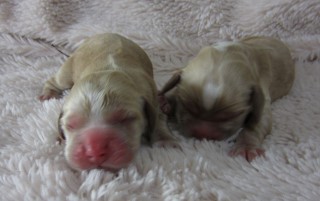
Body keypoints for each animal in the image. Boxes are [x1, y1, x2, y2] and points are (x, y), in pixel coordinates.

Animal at [39, 33, 178, 171]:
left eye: (126, 119)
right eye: (70, 125)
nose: (95, 150)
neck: (108, 71)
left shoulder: (152, 96)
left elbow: (158, 119)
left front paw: (165, 141)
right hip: (69, 69)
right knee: (55, 80)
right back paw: (48, 94)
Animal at [159, 36, 296, 162]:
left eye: (231, 115)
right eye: (186, 105)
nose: (202, 134)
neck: (229, 51)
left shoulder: (262, 97)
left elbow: (256, 124)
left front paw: (246, 147)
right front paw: (165, 101)